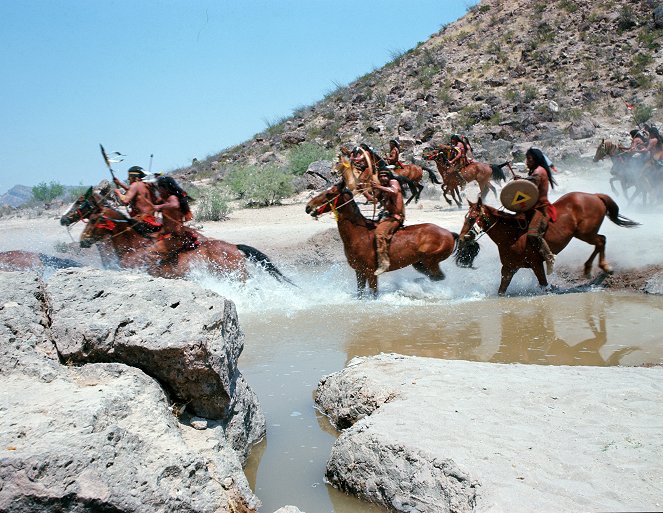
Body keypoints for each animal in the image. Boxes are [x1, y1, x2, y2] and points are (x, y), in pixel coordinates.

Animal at [304, 179, 460, 296]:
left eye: (329, 193)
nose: (308, 206)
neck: (359, 234)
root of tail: (450, 233)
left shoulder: (370, 273)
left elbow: (373, 293)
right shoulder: (359, 272)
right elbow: (360, 293)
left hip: (430, 260)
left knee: (437, 277)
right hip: (420, 263)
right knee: (435, 277)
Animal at [456, 193, 640, 296]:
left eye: (471, 218)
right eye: (465, 217)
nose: (462, 238)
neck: (512, 236)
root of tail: (594, 195)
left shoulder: (536, 264)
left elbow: (544, 285)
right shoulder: (509, 268)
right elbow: (501, 290)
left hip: (586, 234)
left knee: (601, 240)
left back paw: (602, 268)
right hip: (583, 234)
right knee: (601, 240)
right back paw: (590, 269)